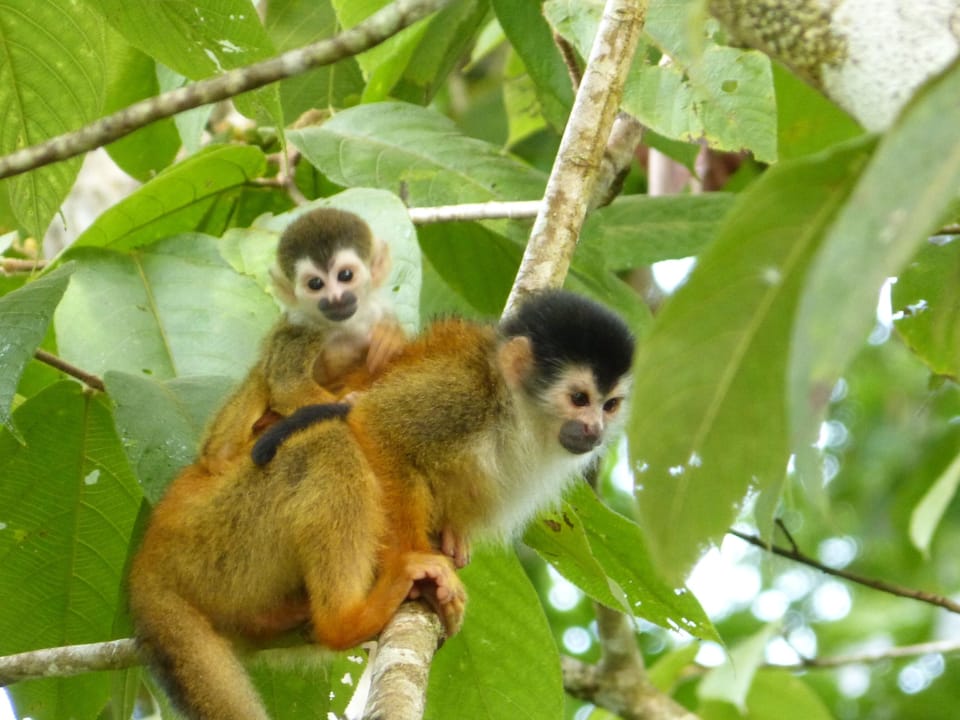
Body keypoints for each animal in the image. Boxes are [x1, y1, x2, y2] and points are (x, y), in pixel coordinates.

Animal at [128, 289, 634, 720]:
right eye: (579, 398)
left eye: (610, 404)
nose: (594, 430)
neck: (519, 416)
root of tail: (151, 558)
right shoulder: (462, 394)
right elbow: (376, 426)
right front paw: (418, 559)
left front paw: (453, 537)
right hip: (220, 535)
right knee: (328, 439)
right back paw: (347, 620)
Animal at [199, 206, 406, 475]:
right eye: (315, 284)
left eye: (345, 275)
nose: (335, 299)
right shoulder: (301, 330)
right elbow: (289, 388)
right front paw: (348, 402)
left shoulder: (377, 311)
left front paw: (390, 339)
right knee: (262, 372)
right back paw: (218, 455)